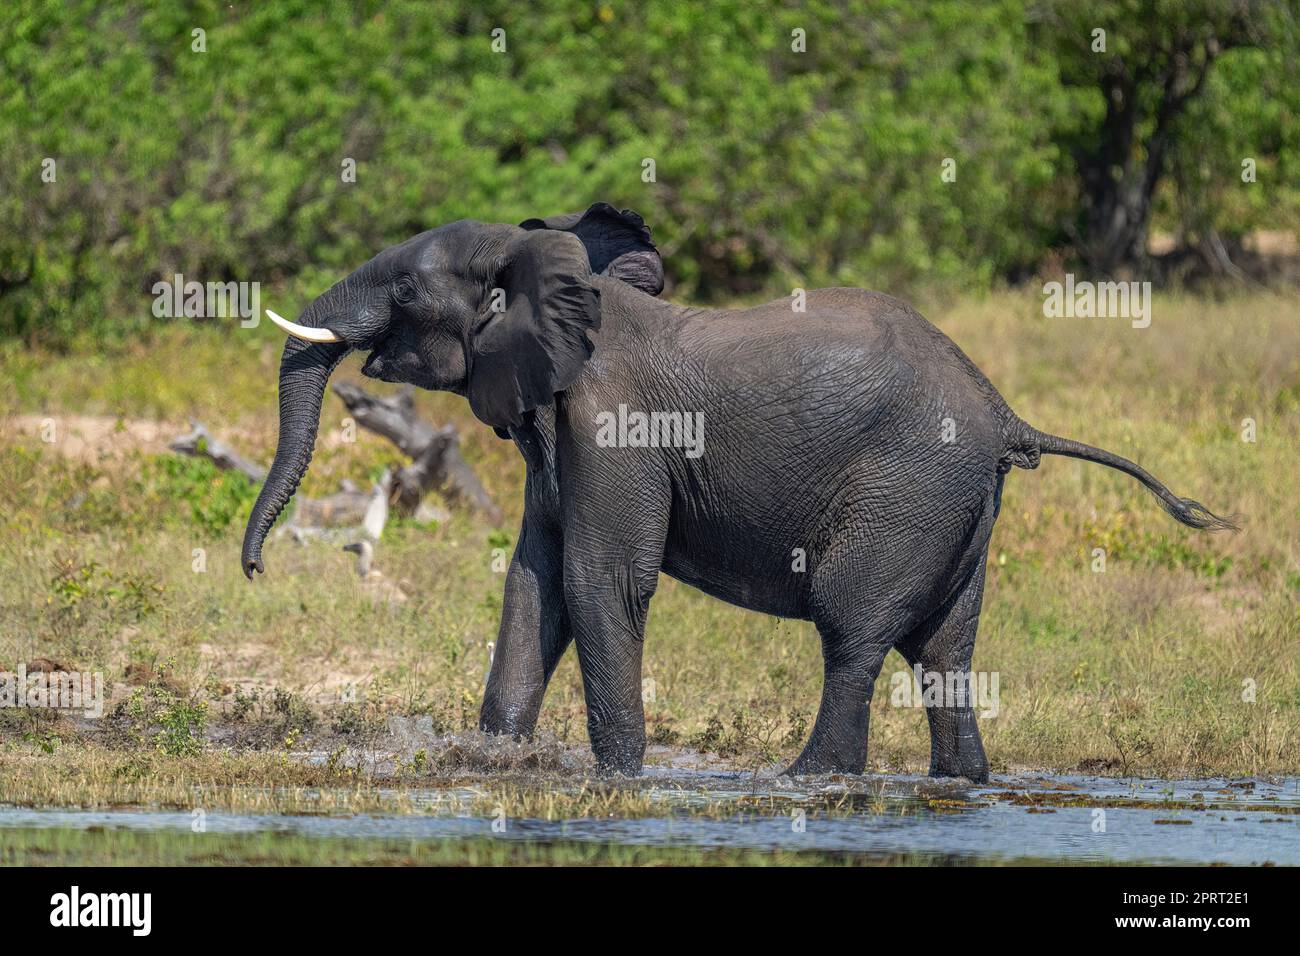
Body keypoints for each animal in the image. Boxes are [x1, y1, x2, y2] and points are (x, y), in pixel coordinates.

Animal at [241, 202, 1235, 781]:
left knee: (854, 628)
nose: (252, 572)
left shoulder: (612, 425)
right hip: (961, 507)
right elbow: (533, 584)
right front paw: (490, 760)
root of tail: (1002, 410)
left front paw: (618, 778)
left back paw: (809, 780)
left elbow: (601, 582)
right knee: (947, 650)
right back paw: (959, 785)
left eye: (408, 285)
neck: (552, 273)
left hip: (908, 491)